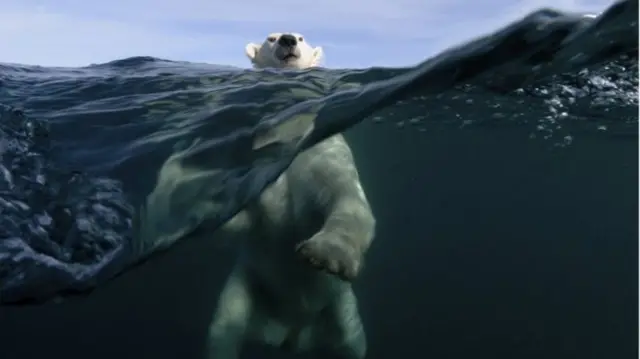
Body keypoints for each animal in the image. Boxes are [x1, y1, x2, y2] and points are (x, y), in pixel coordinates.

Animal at [205, 35, 376, 358]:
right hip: (249, 287)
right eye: (270, 38)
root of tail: (292, 333)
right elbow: (244, 219)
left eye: (301, 38)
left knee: (352, 341)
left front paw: (326, 253)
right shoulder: (258, 163)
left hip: (338, 307)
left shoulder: (323, 151)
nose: (286, 40)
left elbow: (347, 197)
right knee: (224, 329)